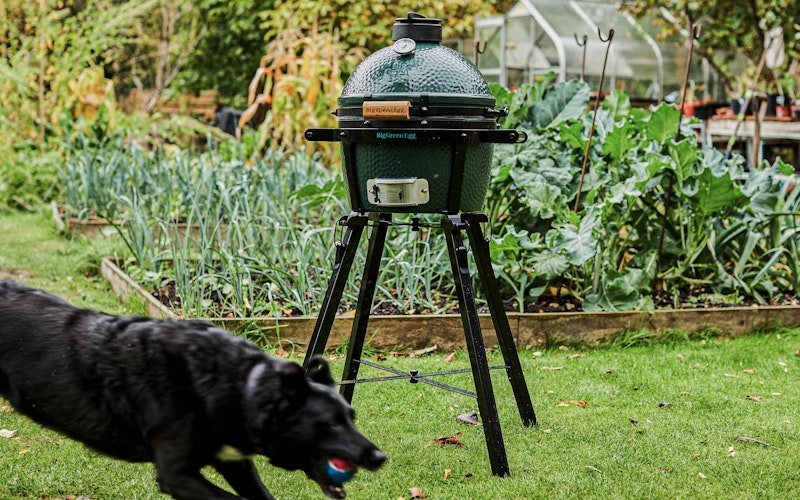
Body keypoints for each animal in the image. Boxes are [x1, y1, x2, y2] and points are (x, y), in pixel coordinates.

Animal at [0, 280, 384, 498]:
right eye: (331, 424)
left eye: (351, 417)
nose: (379, 457)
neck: (241, 386)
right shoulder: (177, 475)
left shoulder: (235, 464)